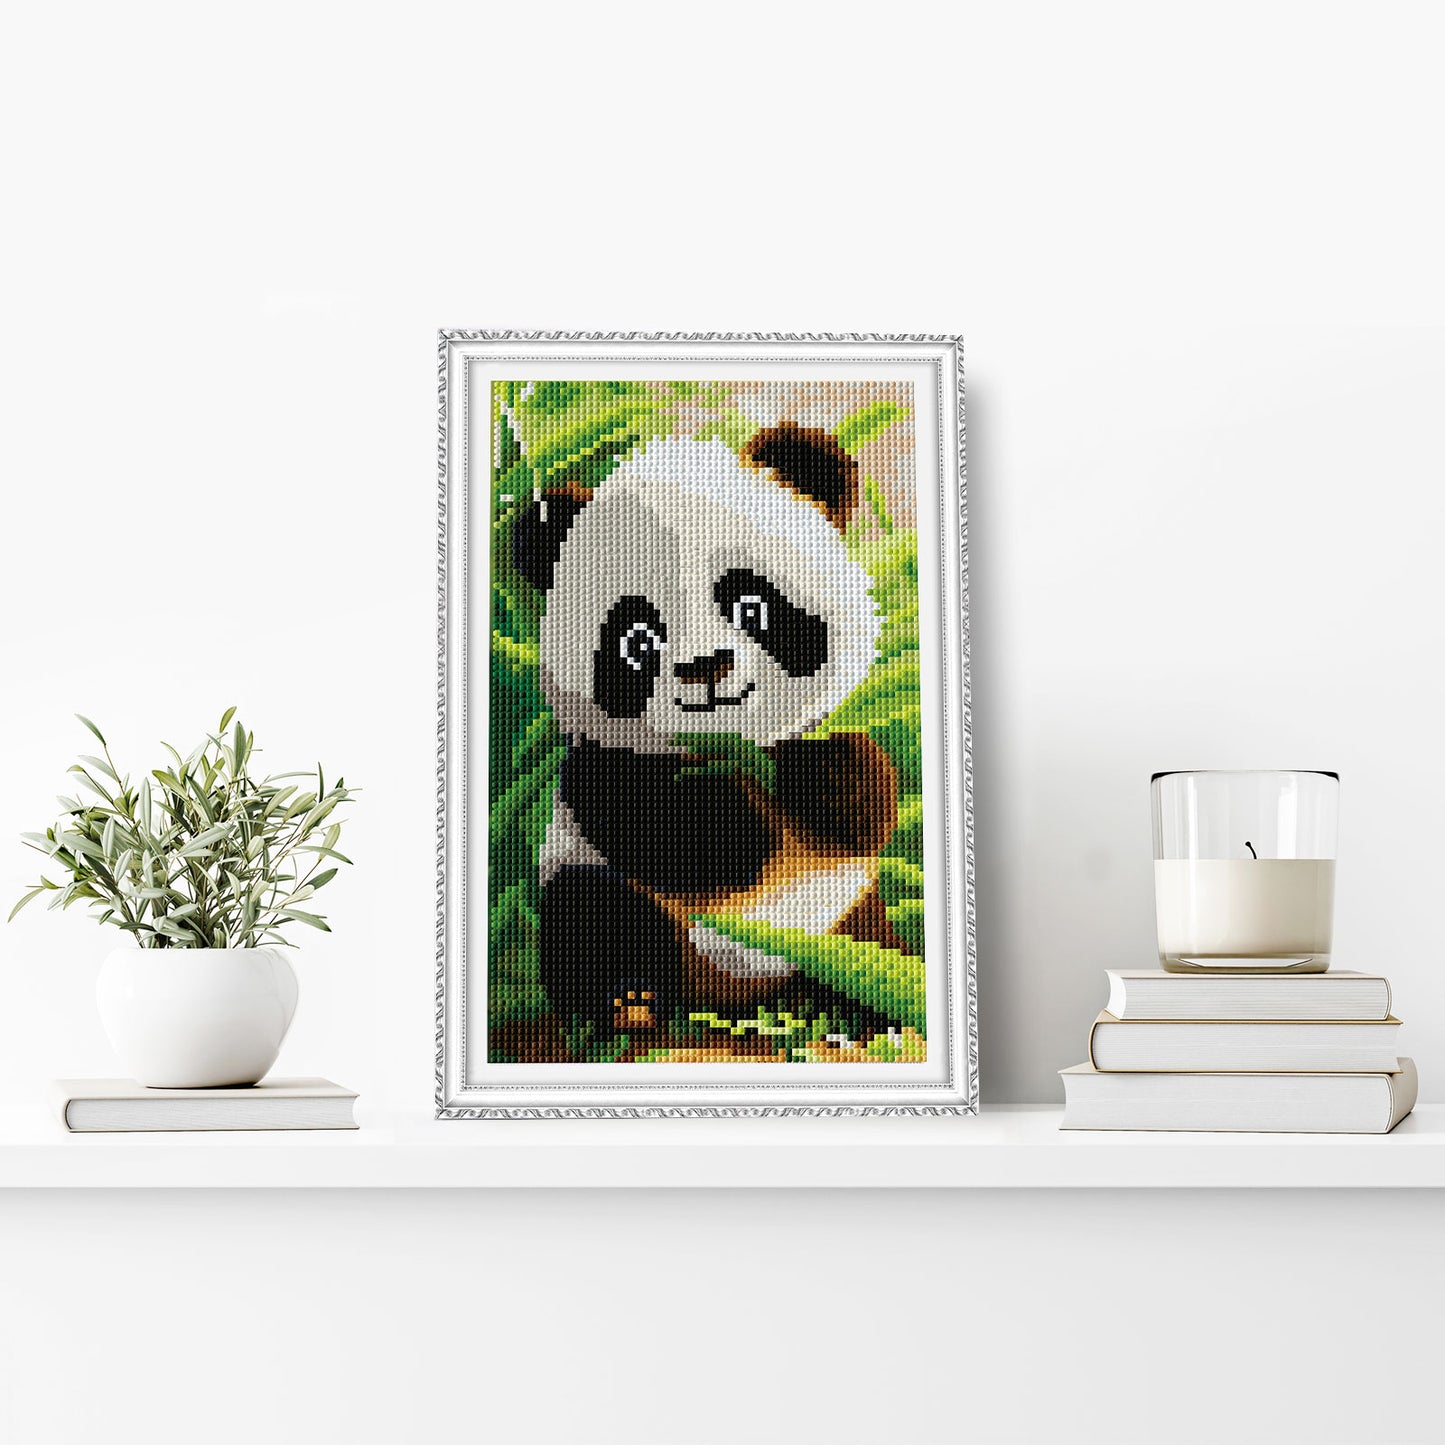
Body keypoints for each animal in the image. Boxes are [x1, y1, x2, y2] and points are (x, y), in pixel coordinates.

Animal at [512, 422, 906, 1038]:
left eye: (751, 603)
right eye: (637, 638)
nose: (706, 669)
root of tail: (733, 998)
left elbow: (863, 813)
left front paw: (814, 769)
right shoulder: (603, 761)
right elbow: (667, 832)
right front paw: (731, 812)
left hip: (843, 914)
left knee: (869, 955)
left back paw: (860, 1015)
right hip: (617, 899)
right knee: (592, 912)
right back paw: (630, 1002)